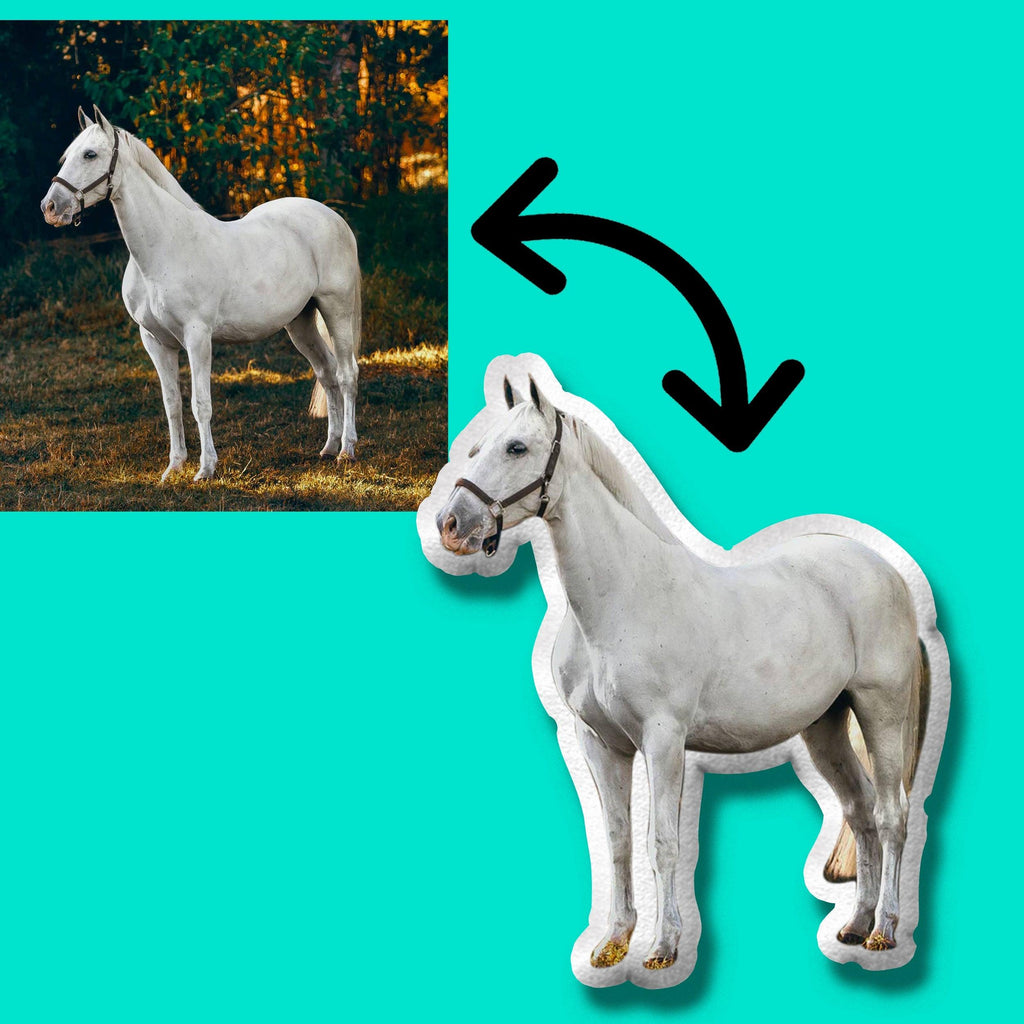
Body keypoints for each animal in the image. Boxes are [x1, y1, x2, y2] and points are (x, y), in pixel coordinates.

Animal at [40, 105, 360, 482]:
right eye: (67, 156)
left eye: (90, 154)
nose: (50, 207)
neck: (165, 247)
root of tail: (333, 217)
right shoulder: (155, 341)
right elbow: (172, 404)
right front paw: (174, 467)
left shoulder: (197, 337)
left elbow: (200, 404)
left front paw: (205, 469)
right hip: (300, 322)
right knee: (326, 373)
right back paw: (328, 447)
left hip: (336, 309)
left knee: (347, 374)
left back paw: (347, 450)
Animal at [419, 355, 948, 988]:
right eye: (476, 449)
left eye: (517, 447)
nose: (451, 525)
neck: (621, 599)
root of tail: (891, 577)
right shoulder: (600, 743)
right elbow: (617, 841)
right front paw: (611, 946)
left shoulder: (664, 740)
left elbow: (663, 842)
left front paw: (663, 948)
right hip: (824, 728)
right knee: (861, 813)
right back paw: (853, 925)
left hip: (880, 713)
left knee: (893, 816)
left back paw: (884, 931)